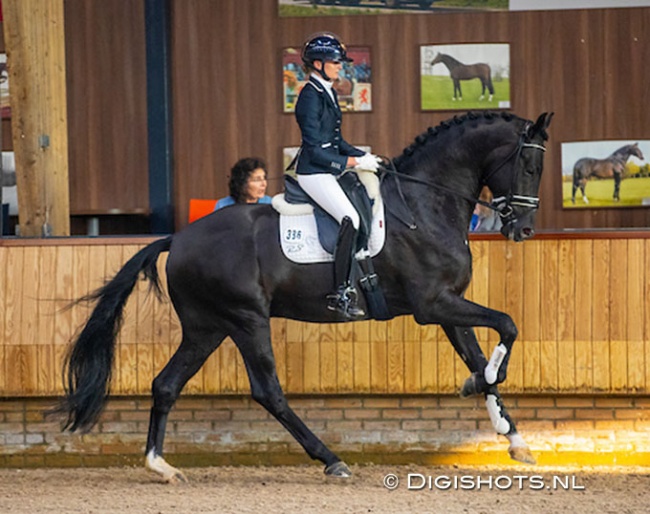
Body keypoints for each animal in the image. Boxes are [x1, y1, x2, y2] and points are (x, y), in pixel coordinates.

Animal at [54, 110, 552, 482]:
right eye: (529, 167)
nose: (524, 231)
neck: (423, 204)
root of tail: (178, 239)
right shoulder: (432, 306)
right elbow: (508, 325)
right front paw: (484, 392)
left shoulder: (447, 305)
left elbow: (482, 356)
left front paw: (513, 436)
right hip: (247, 320)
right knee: (268, 391)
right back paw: (330, 459)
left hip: (206, 327)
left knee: (166, 384)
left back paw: (161, 465)